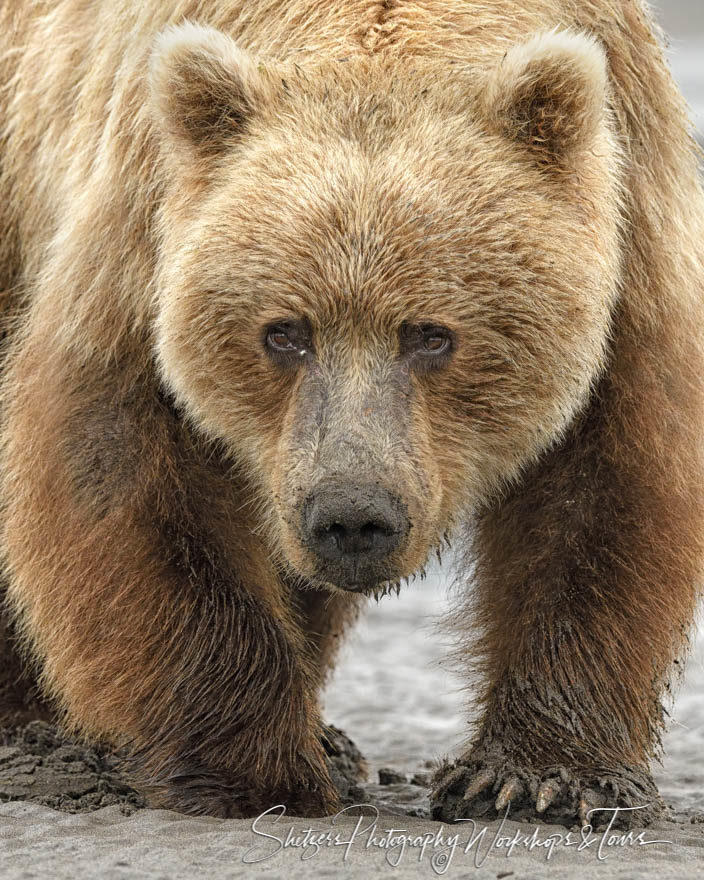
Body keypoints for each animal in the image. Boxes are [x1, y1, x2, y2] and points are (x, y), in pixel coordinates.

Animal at [0, 0, 700, 824]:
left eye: (431, 334)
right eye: (283, 331)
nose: (353, 516)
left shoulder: (628, 215)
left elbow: (607, 488)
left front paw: (537, 777)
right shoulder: (141, 227)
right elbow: (124, 469)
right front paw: (261, 767)